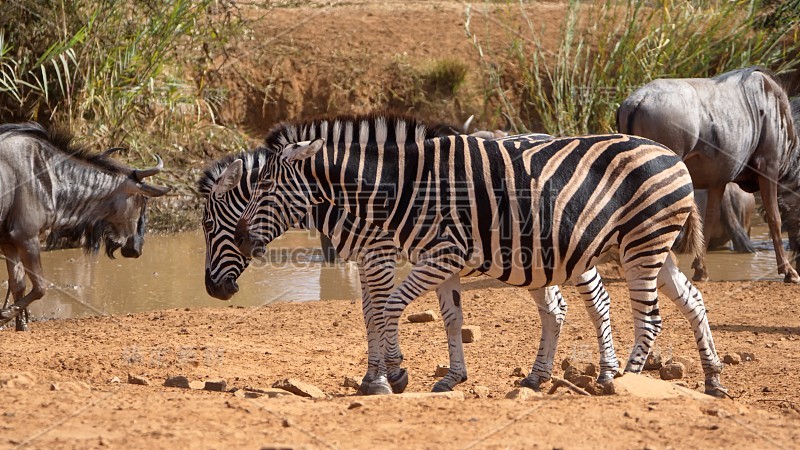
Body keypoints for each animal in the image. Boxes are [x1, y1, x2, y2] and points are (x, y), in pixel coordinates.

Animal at [234, 119, 728, 398]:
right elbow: (450, 318)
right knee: (693, 301)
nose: (240, 237)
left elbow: (390, 307)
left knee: (649, 318)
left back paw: (622, 381)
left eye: (265, 188)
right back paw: (713, 381)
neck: (404, 186)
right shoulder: (442, 260)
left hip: (640, 245)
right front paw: (451, 378)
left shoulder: (441, 253)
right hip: (652, 247)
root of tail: (673, 155)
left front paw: (393, 375)